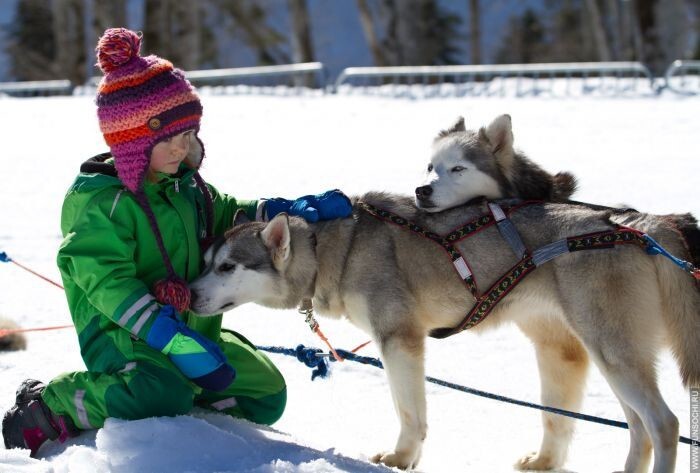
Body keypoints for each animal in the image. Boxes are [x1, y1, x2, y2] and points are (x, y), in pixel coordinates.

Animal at [189, 194, 696, 470]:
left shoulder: (399, 340)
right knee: (638, 428)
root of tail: (641, 225)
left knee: (664, 424)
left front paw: (401, 458)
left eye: (228, 267)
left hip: (612, 352)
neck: (335, 249)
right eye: (208, 262)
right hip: (599, 353)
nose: (188, 294)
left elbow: (409, 413)